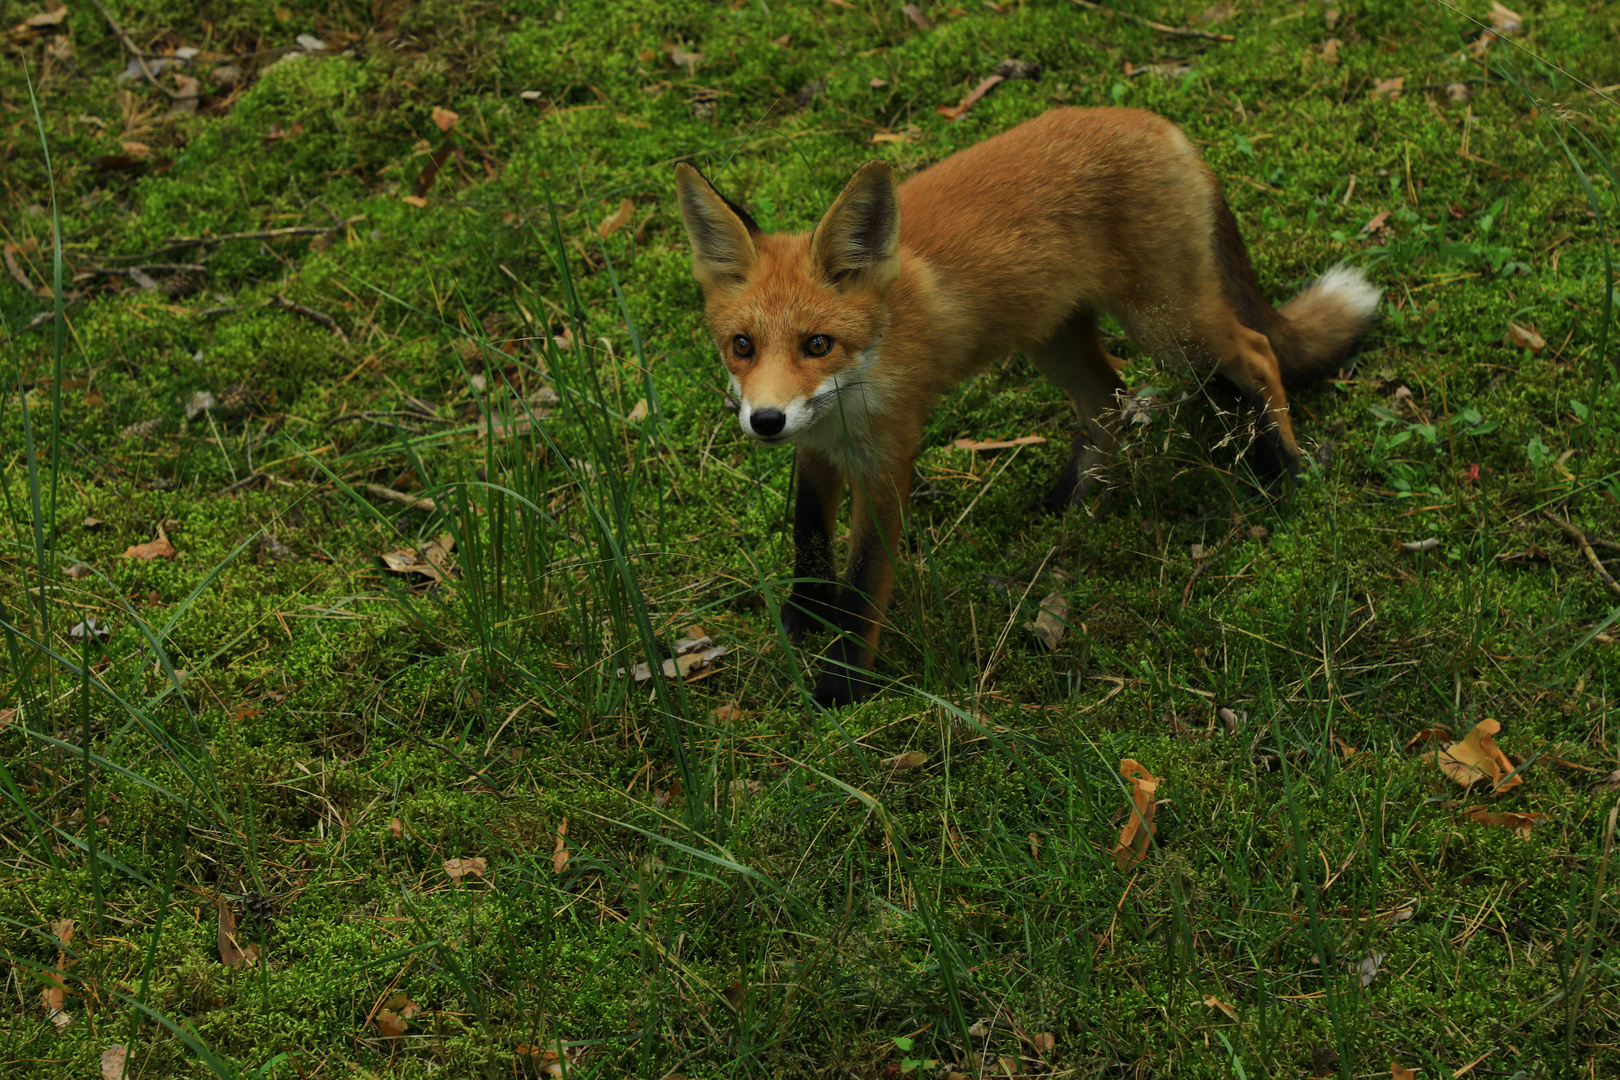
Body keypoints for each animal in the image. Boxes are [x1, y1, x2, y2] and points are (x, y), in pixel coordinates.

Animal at [673, 107, 1380, 702]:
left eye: (817, 344)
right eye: (742, 346)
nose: (765, 420)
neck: (864, 373)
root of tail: (1156, 121)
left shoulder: (886, 460)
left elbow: (867, 579)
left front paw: (841, 685)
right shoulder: (818, 448)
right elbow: (809, 537)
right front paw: (803, 619)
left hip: (1168, 326)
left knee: (1257, 354)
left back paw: (1283, 470)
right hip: (1056, 334)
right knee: (1108, 396)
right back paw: (1071, 498)